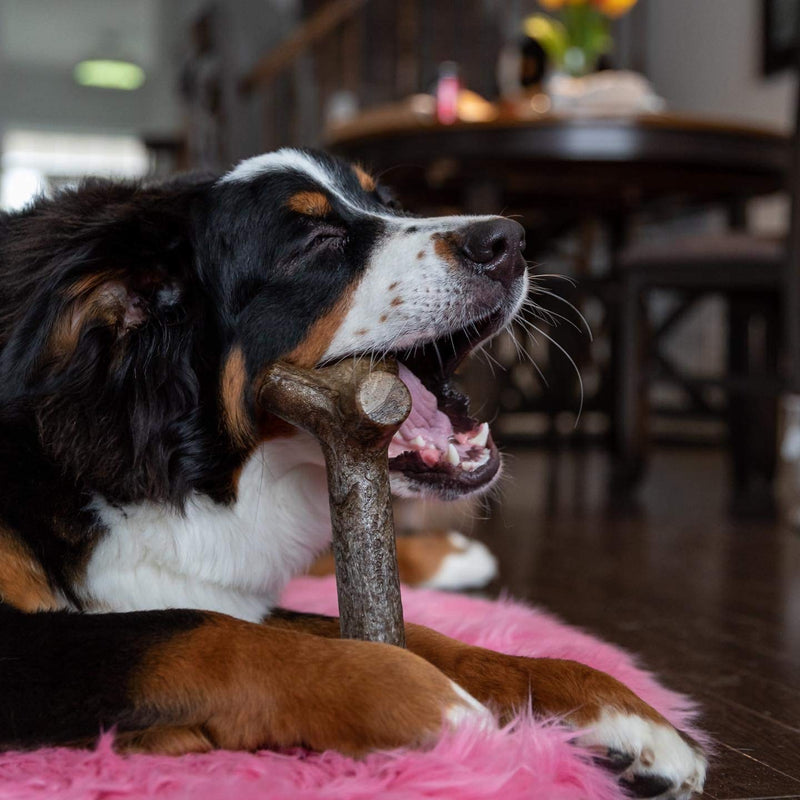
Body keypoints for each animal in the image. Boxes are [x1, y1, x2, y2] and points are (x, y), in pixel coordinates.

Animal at [0, 148, 708, 792]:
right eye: (316, 242)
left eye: (388, 204)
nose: (508, 241)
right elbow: (203, 637)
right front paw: (431, 707)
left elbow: (409, 635)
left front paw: (608, 707)